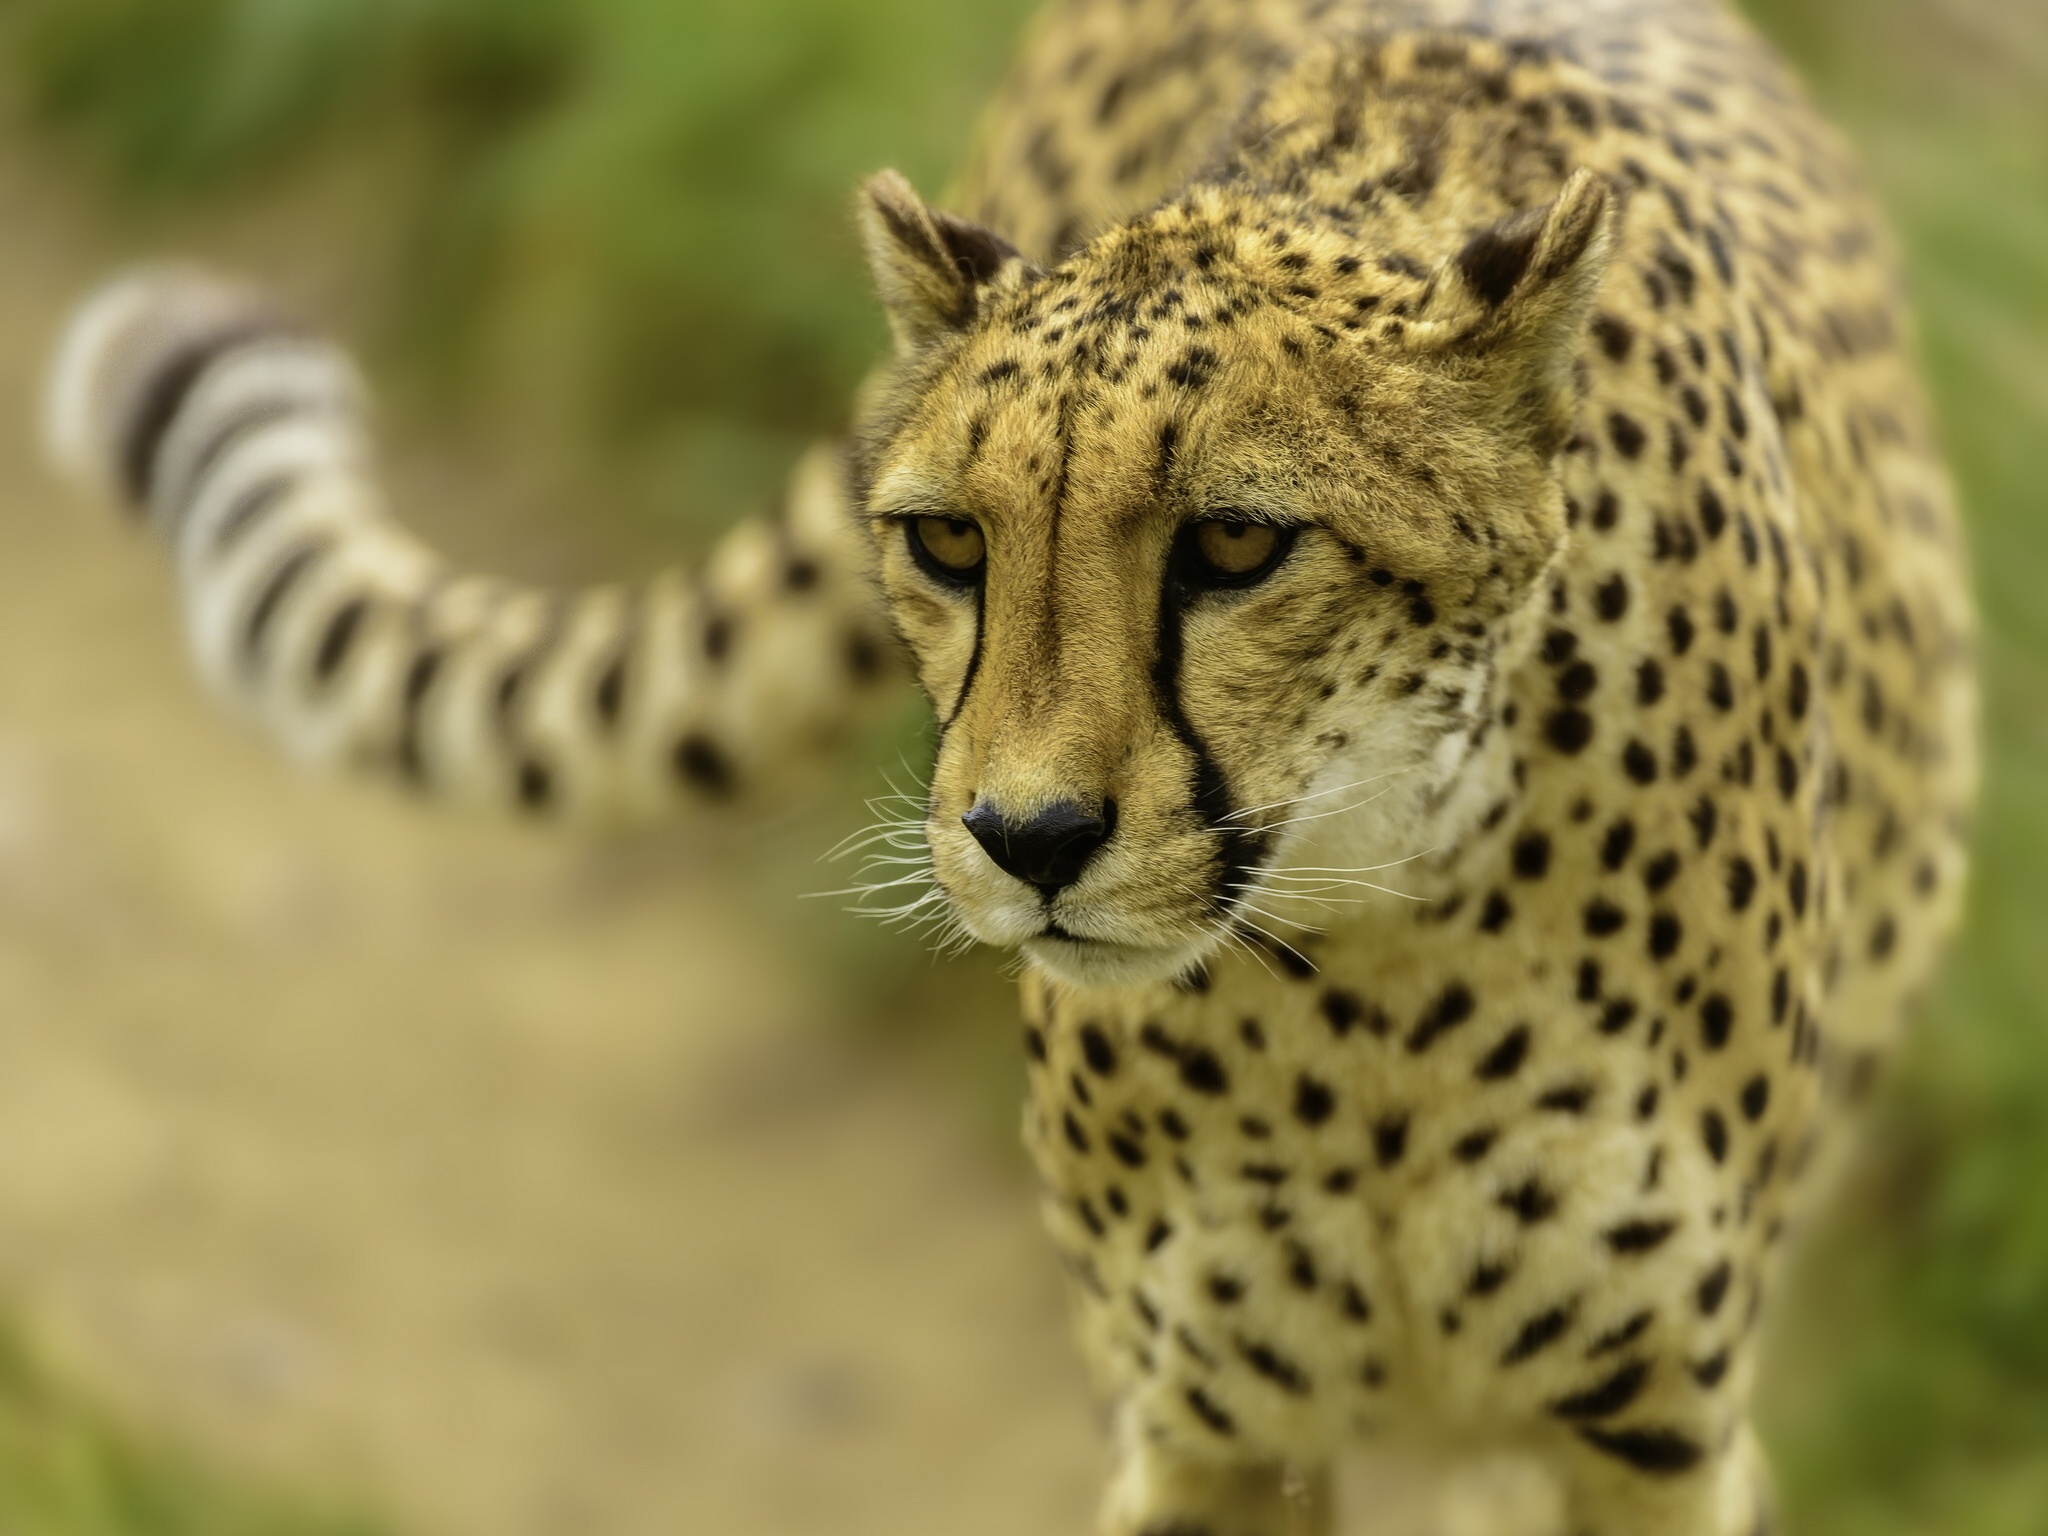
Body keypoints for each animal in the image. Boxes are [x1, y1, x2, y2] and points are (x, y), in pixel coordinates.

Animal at [39, 3, 1974, 1536]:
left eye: (1237, 544)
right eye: (950, 544)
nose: (1026, 838)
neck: (1376, 973)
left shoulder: (1642, 1433)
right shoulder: (1208, 1426)